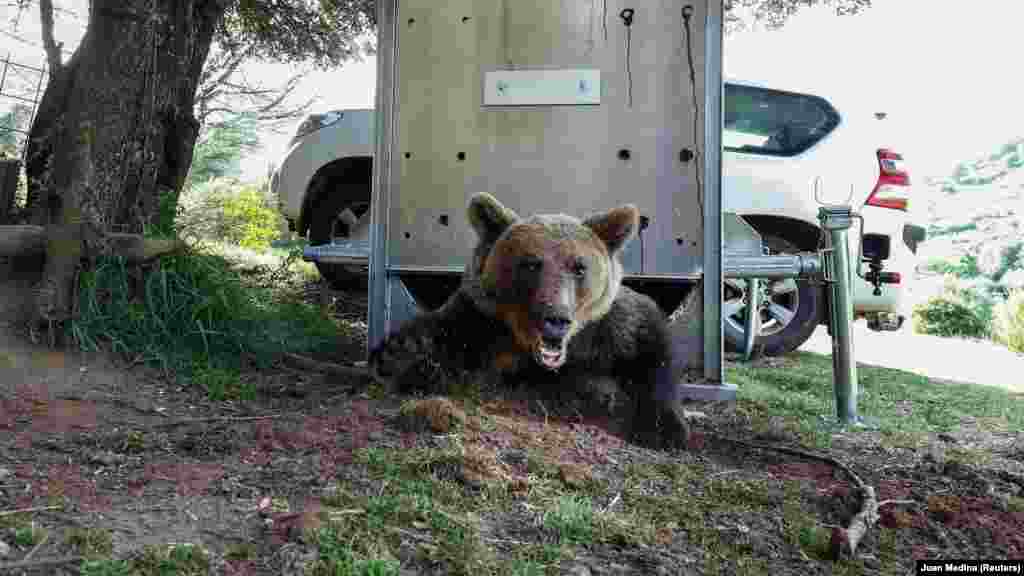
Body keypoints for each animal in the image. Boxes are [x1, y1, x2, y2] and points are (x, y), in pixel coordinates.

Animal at [368, 190, 688, 446]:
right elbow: (442, 335)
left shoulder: (610, 326)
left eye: (579, 267)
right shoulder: (480, 319)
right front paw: (400, 354)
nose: (556, 318)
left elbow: (652, 346)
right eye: (531, 263)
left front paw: (664, 429)